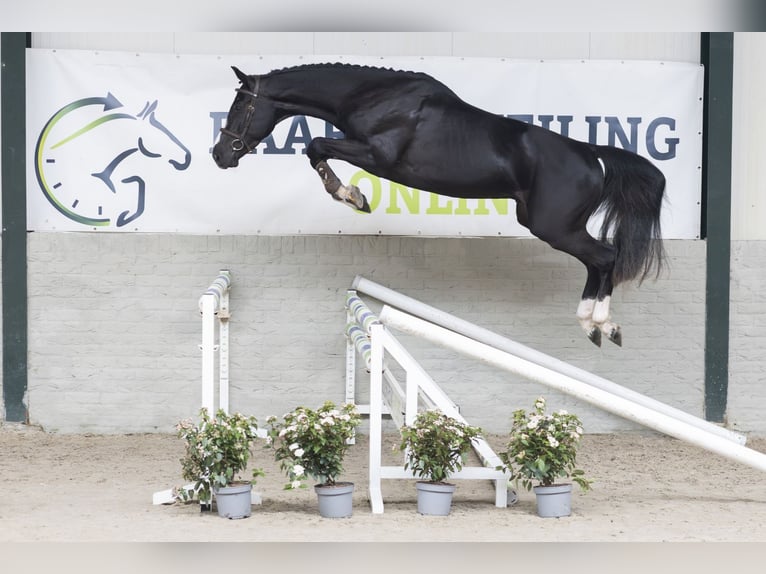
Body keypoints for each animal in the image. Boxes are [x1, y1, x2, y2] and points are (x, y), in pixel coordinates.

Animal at [212, 63, 666, 347]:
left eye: (241, 105)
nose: (220, 155)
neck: (375, 97)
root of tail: (590, 153)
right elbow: (317, 148)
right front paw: (353, 196)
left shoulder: (377, 156)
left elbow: (316, 146)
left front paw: (353, 197)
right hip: (550, 225)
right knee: (597, 262)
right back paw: (596, 328)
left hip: (554, 228)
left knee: (605, 257)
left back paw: (600, 324)